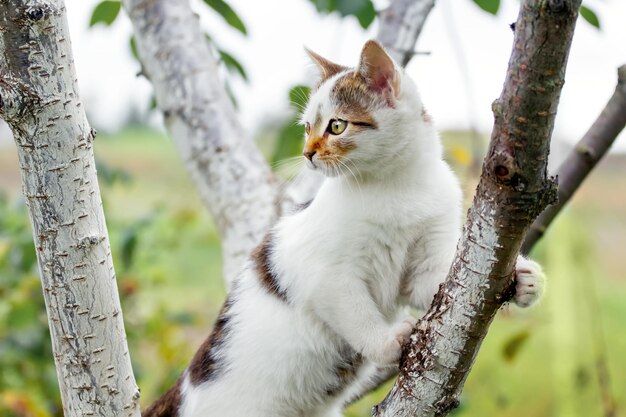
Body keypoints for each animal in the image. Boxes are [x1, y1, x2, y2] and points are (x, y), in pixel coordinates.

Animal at [144, 39, 544, 416]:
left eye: (337, 125)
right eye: (308, 127)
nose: (307, 153)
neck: (398, 186)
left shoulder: (424, 266)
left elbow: (436, 284)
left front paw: (523, 277)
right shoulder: (327, 278)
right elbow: (356, 313)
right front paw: (386, 342)